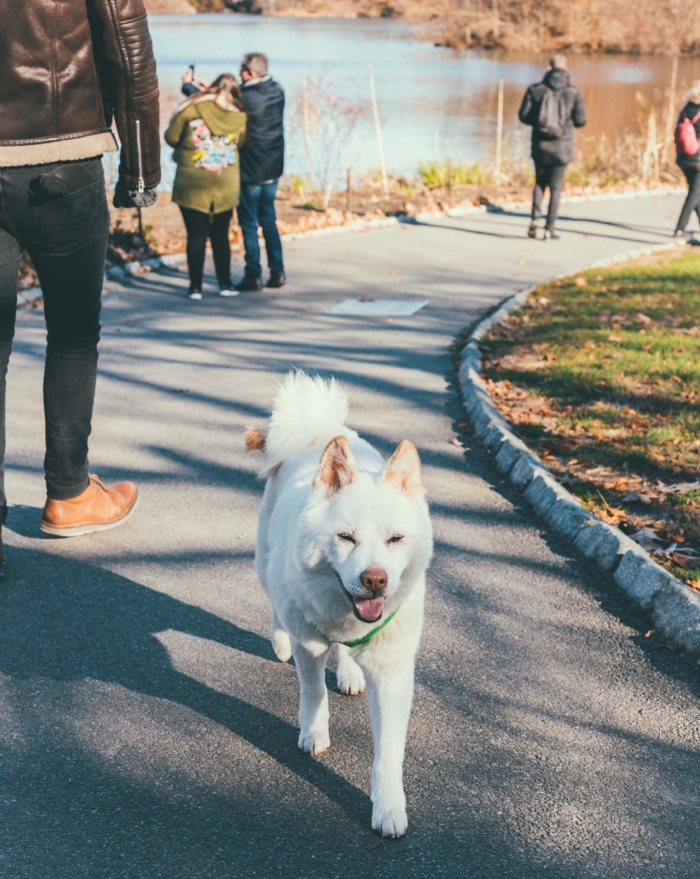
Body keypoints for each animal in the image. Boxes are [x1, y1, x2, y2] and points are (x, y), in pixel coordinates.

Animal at [246, 372, 432, 840]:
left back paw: (349, 672)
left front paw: (388, 807)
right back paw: (279, 641)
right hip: (266, 563)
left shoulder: (393, 672)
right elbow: (312, 691)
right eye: (346, 538)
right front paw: (313, 732)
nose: (375, 579)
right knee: (276, 603)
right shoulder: (309, 644)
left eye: (395, 539)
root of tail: (318, 432)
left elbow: (389, 752)